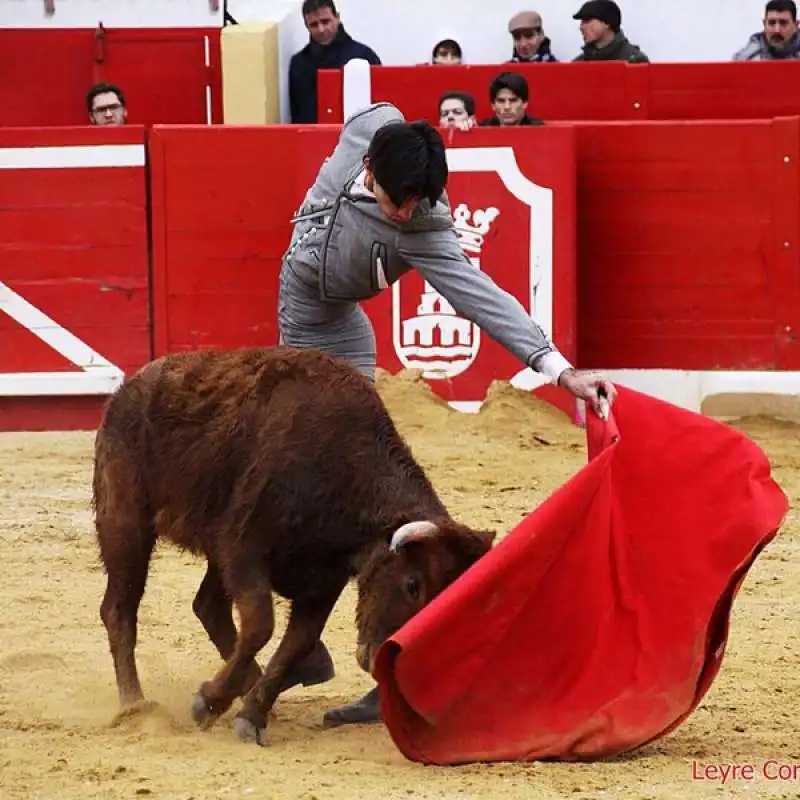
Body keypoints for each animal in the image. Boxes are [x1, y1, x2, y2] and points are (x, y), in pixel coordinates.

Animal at [92, 346, 494, 748]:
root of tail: (131, 385)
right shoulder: (244, 550)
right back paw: (135, 705)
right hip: (125, 521)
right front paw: (208, 702)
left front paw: (251, 713)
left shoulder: (323, 582)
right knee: (120, 610)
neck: (342, 471)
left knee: (208, 607)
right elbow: (261, 626)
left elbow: (295, 644)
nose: (381, 659)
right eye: (412, 584)